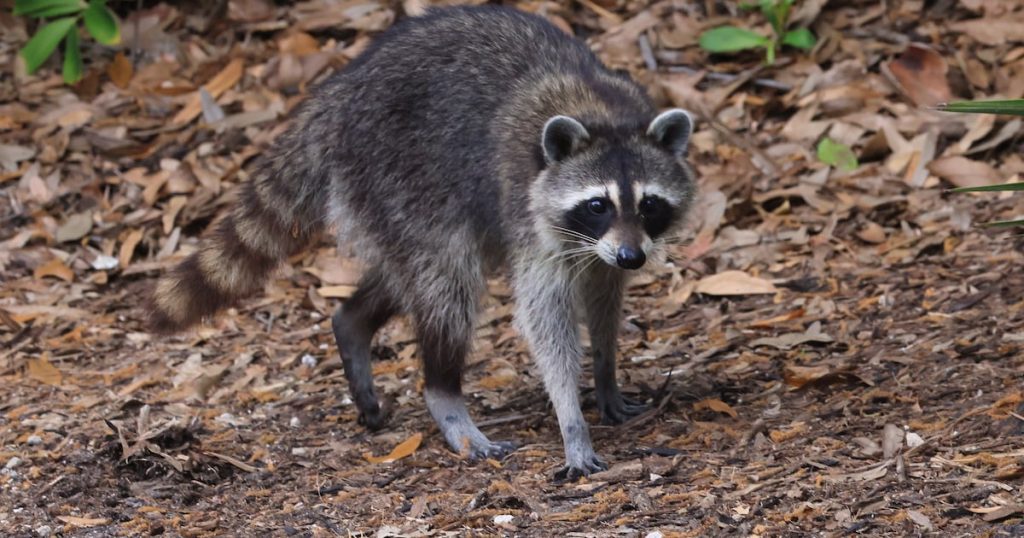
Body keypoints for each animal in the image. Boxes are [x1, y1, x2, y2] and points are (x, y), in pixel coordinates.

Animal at [150, 5, 696, 479]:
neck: (599, 112)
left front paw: (605, 373)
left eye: (649, 204)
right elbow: (546, 317)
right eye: (598, 204)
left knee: (409, 274)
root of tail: (336, 96)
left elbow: (604, 295)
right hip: (399, 175)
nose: (633, 257)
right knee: (447, 283)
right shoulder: (531, 209)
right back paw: (444, 393)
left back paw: (353, 323)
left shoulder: (602, 246)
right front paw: (571, 420)